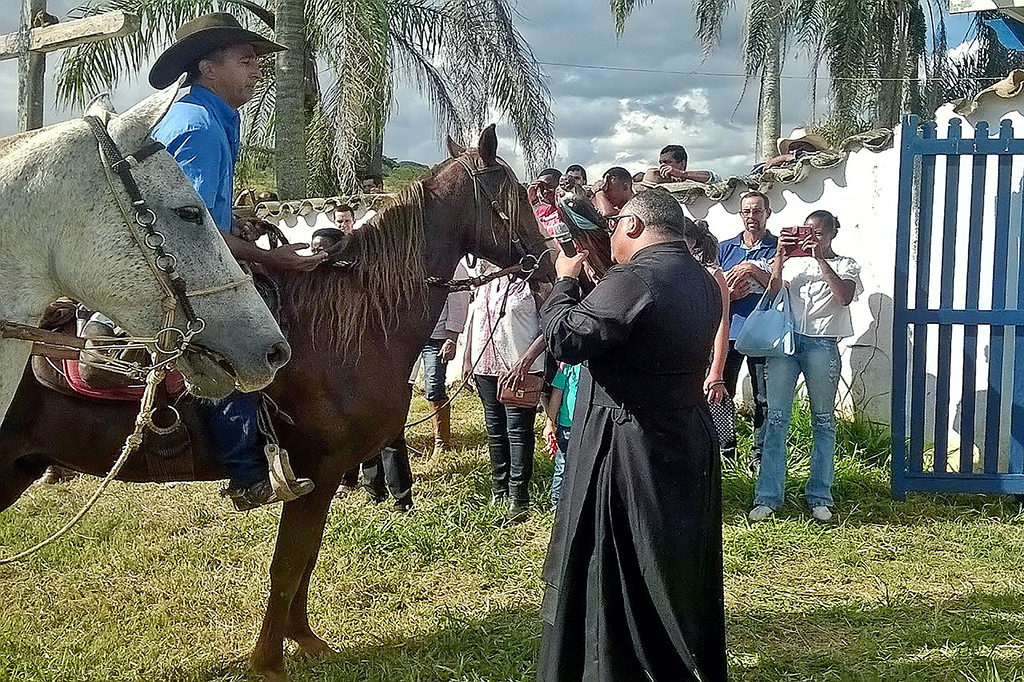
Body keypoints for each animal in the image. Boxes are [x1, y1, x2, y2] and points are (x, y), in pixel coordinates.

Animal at [0, 127, 552, 679]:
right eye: (516, 193)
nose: (546, 261)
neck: (349, 324)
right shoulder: (318, 467)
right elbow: (288, 564)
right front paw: (268, 661)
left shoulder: (323, 476)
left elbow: (305, 560)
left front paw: (304, 640)